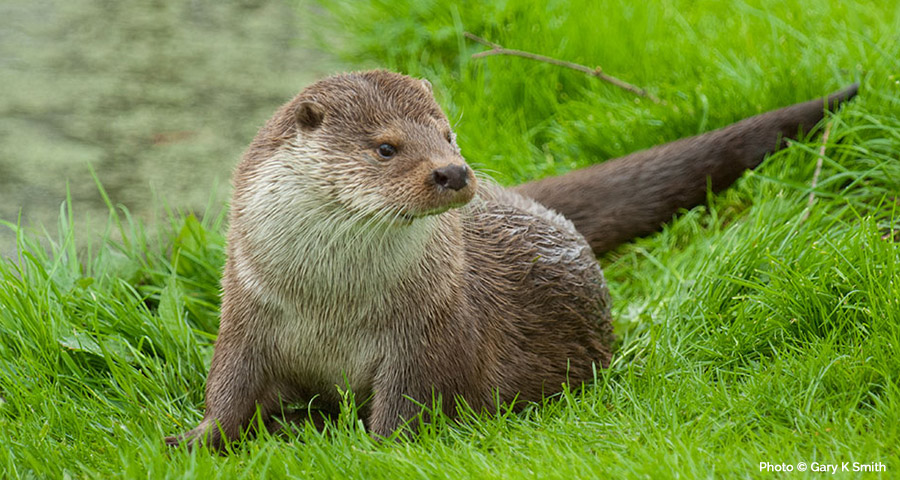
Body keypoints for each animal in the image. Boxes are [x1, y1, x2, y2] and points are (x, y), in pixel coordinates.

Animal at [165, 70, 857, 450]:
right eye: (387, 147)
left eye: (448, 134)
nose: (453, 171)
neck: (330, 305)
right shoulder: (248, 313)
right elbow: (229, 390)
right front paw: (193, 439)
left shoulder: (429, 331)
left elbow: (411, 406)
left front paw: (371, 450)